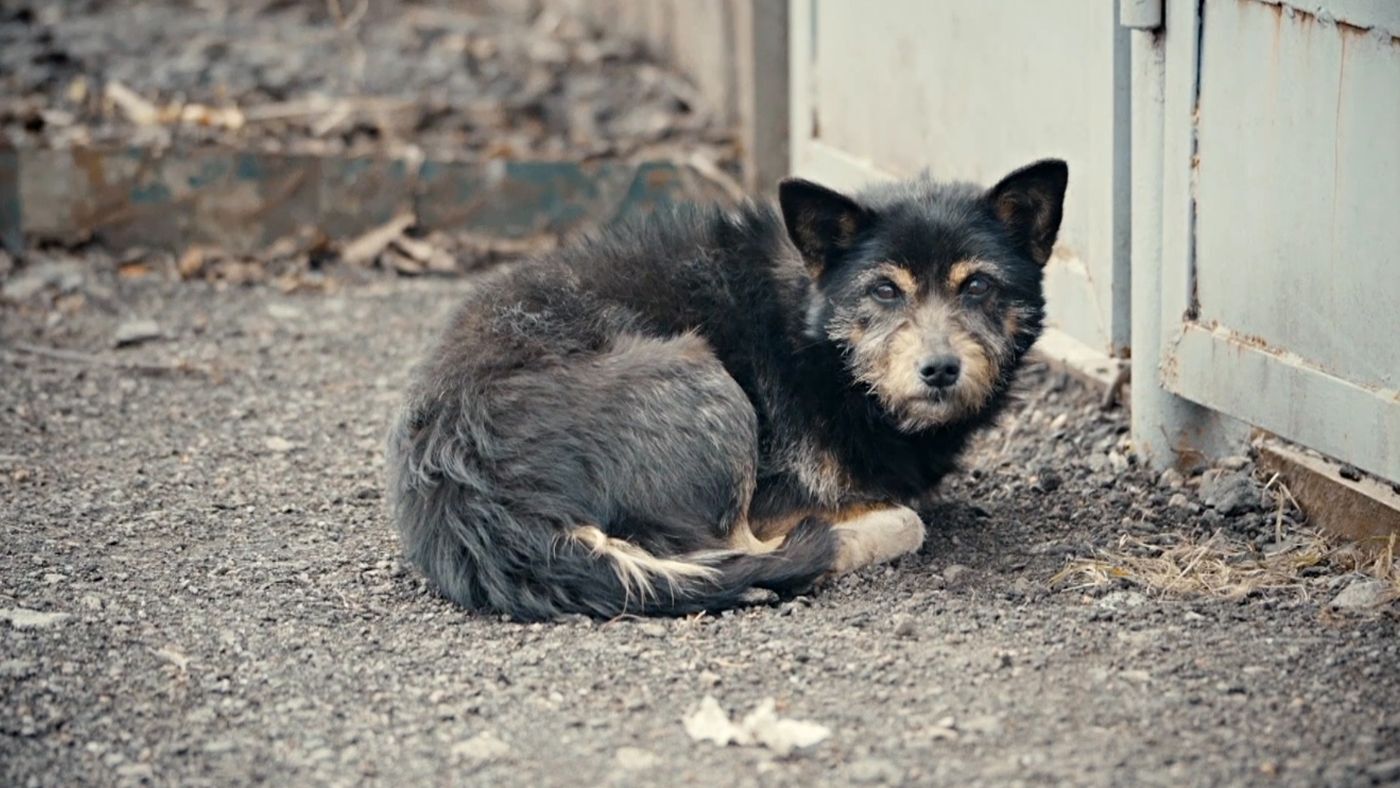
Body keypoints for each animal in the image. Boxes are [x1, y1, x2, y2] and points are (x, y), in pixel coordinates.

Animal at [389, 157, 1064, 618]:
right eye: (884, 289)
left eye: (976, 286)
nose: (940, 368)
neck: (813, 335)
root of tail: (468, 492)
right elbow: (901, 518)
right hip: (703, 379)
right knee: (746, 550)